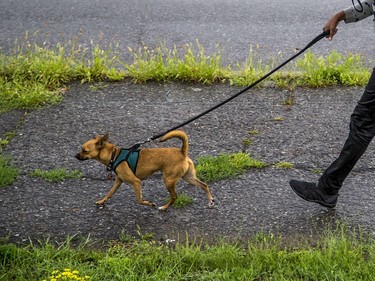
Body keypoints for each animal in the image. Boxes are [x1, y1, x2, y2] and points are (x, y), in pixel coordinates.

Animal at [75, 130, 214, 210]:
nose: (75, 156)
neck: (114, 155)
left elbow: (139, 200)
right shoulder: (118, 181)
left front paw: (150, 204)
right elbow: (110, 193)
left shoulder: (136, 182)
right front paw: (101, 201)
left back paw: (164, 207)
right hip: (188, 177)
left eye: (84, 150)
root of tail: (182, 152)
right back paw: (210, 201)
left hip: (168, 180)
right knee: (204, 185)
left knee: (174, 196)